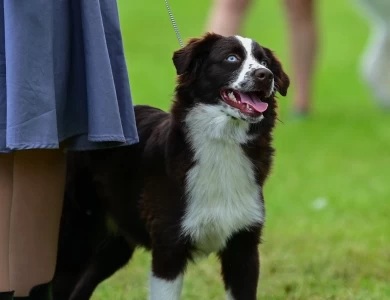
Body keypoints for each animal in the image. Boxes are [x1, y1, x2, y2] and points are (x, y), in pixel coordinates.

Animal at [52, 32, 290, 300]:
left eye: (265, 62)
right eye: (231, 58)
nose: (265, 75)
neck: (223, 142)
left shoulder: (243, 248)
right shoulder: (169, 247)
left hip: (113, 246)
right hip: (74, 238)